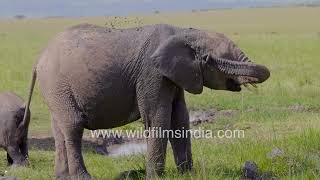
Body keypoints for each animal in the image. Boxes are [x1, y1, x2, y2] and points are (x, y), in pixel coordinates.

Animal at [23, 23, 270, 179]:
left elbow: (180, 119)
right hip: (57, 84)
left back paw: (61, 176)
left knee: (60, 128)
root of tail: (38, 60)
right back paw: (83, 177)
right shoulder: (152, 74)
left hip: (55, 90)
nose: (207, 57)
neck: (185, 32)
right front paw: (155, 177)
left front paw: (188, 175)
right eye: (221, 59)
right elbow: (157, 118)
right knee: (73, 126)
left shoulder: (174, 76)